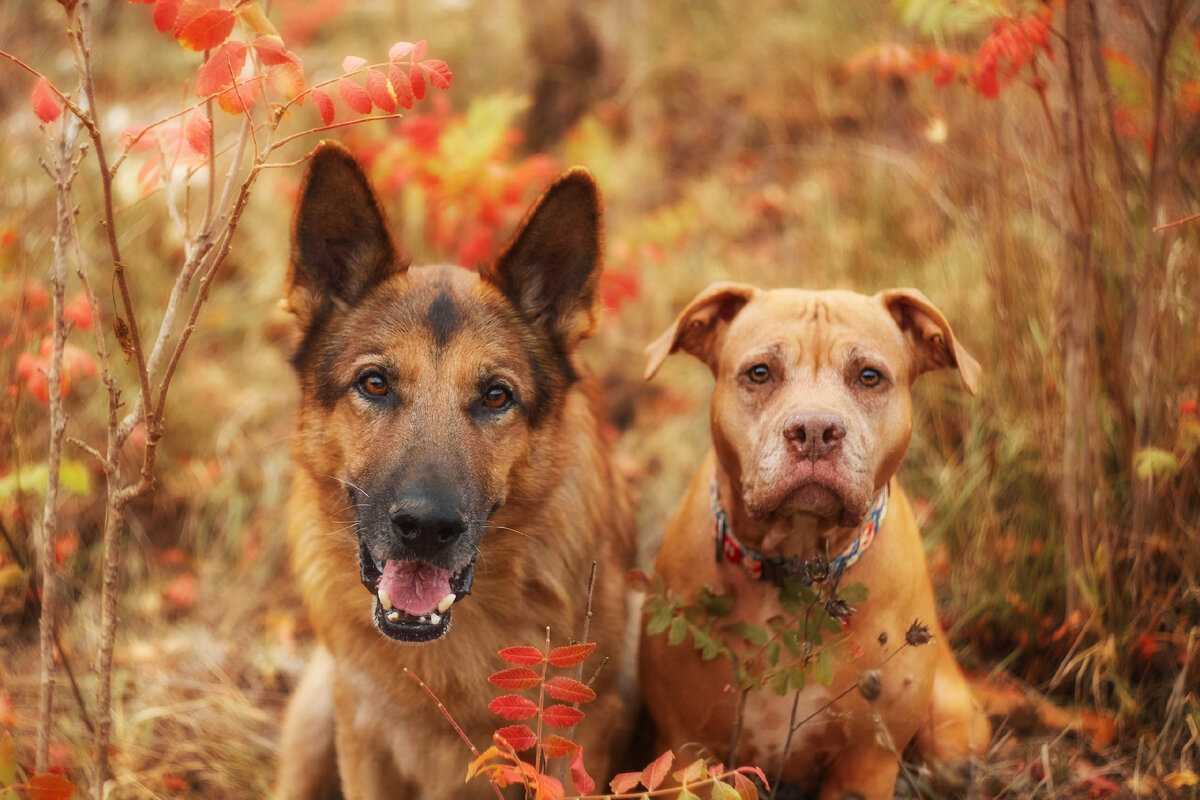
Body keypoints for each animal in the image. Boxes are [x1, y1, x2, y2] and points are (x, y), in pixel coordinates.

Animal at [643, 283, 988, 800]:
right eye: (759, 373)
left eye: (869, 376)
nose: (813, 431)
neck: (796, 564)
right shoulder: (687, 751)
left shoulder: (865, 765)